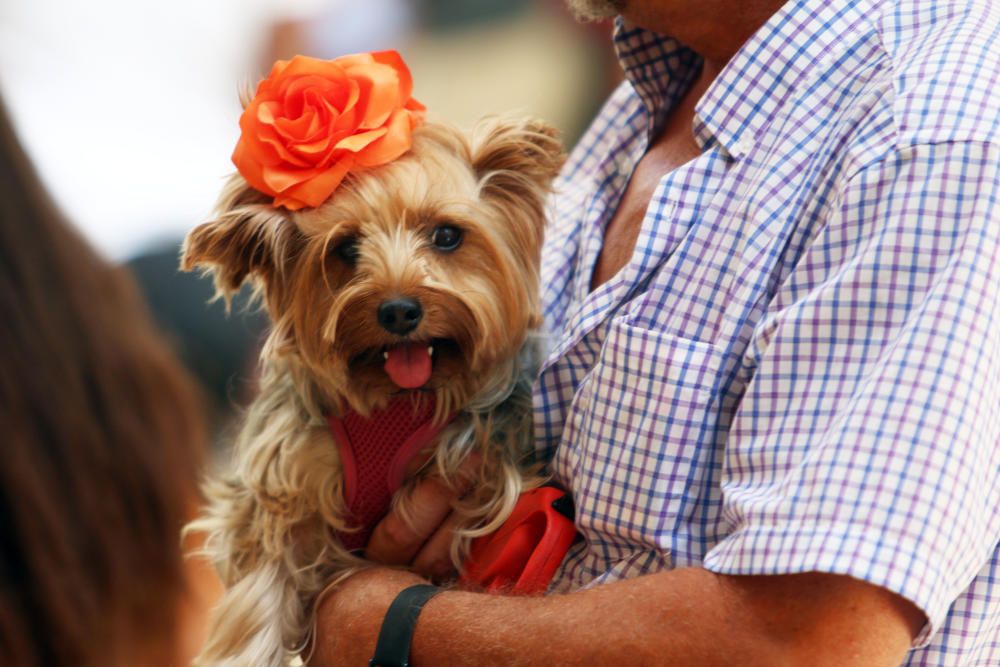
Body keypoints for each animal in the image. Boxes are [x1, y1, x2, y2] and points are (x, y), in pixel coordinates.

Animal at [184, 116, 568, 667]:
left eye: (446, 235)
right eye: (345, 248)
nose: (399, 309)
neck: (396, 399)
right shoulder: (282, 488)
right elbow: (262, 596)